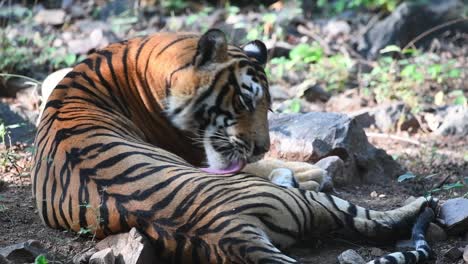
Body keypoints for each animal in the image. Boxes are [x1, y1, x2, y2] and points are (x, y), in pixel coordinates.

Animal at [33, 29, 436, 264]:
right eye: (243, 102)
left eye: (269, 106)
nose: (260, 146)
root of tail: (230, 231)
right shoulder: (200, 152)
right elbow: (255, 163)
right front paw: (309, 170)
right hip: (303, 203)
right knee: (373, 221)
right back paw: (420, 202)